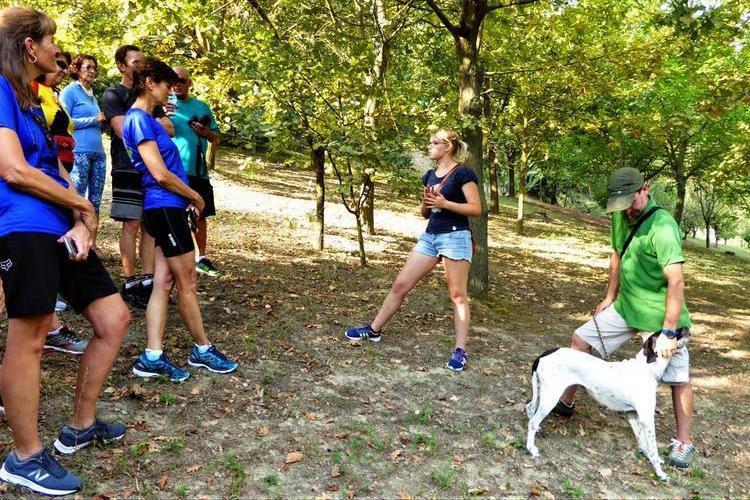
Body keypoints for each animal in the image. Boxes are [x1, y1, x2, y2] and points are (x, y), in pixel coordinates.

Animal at [528, 334, 680, 482]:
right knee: (533, 422)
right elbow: (653, 448)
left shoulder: (633, 415)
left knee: (530, 408)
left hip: (543, 393)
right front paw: (660, 474)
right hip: (551, 397)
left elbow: (644, 443)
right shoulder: (646, 419)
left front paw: (648, 456)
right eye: (672, 334)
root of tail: (545, 354)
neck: (647, 369)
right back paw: (531, 448)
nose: (684, 329)